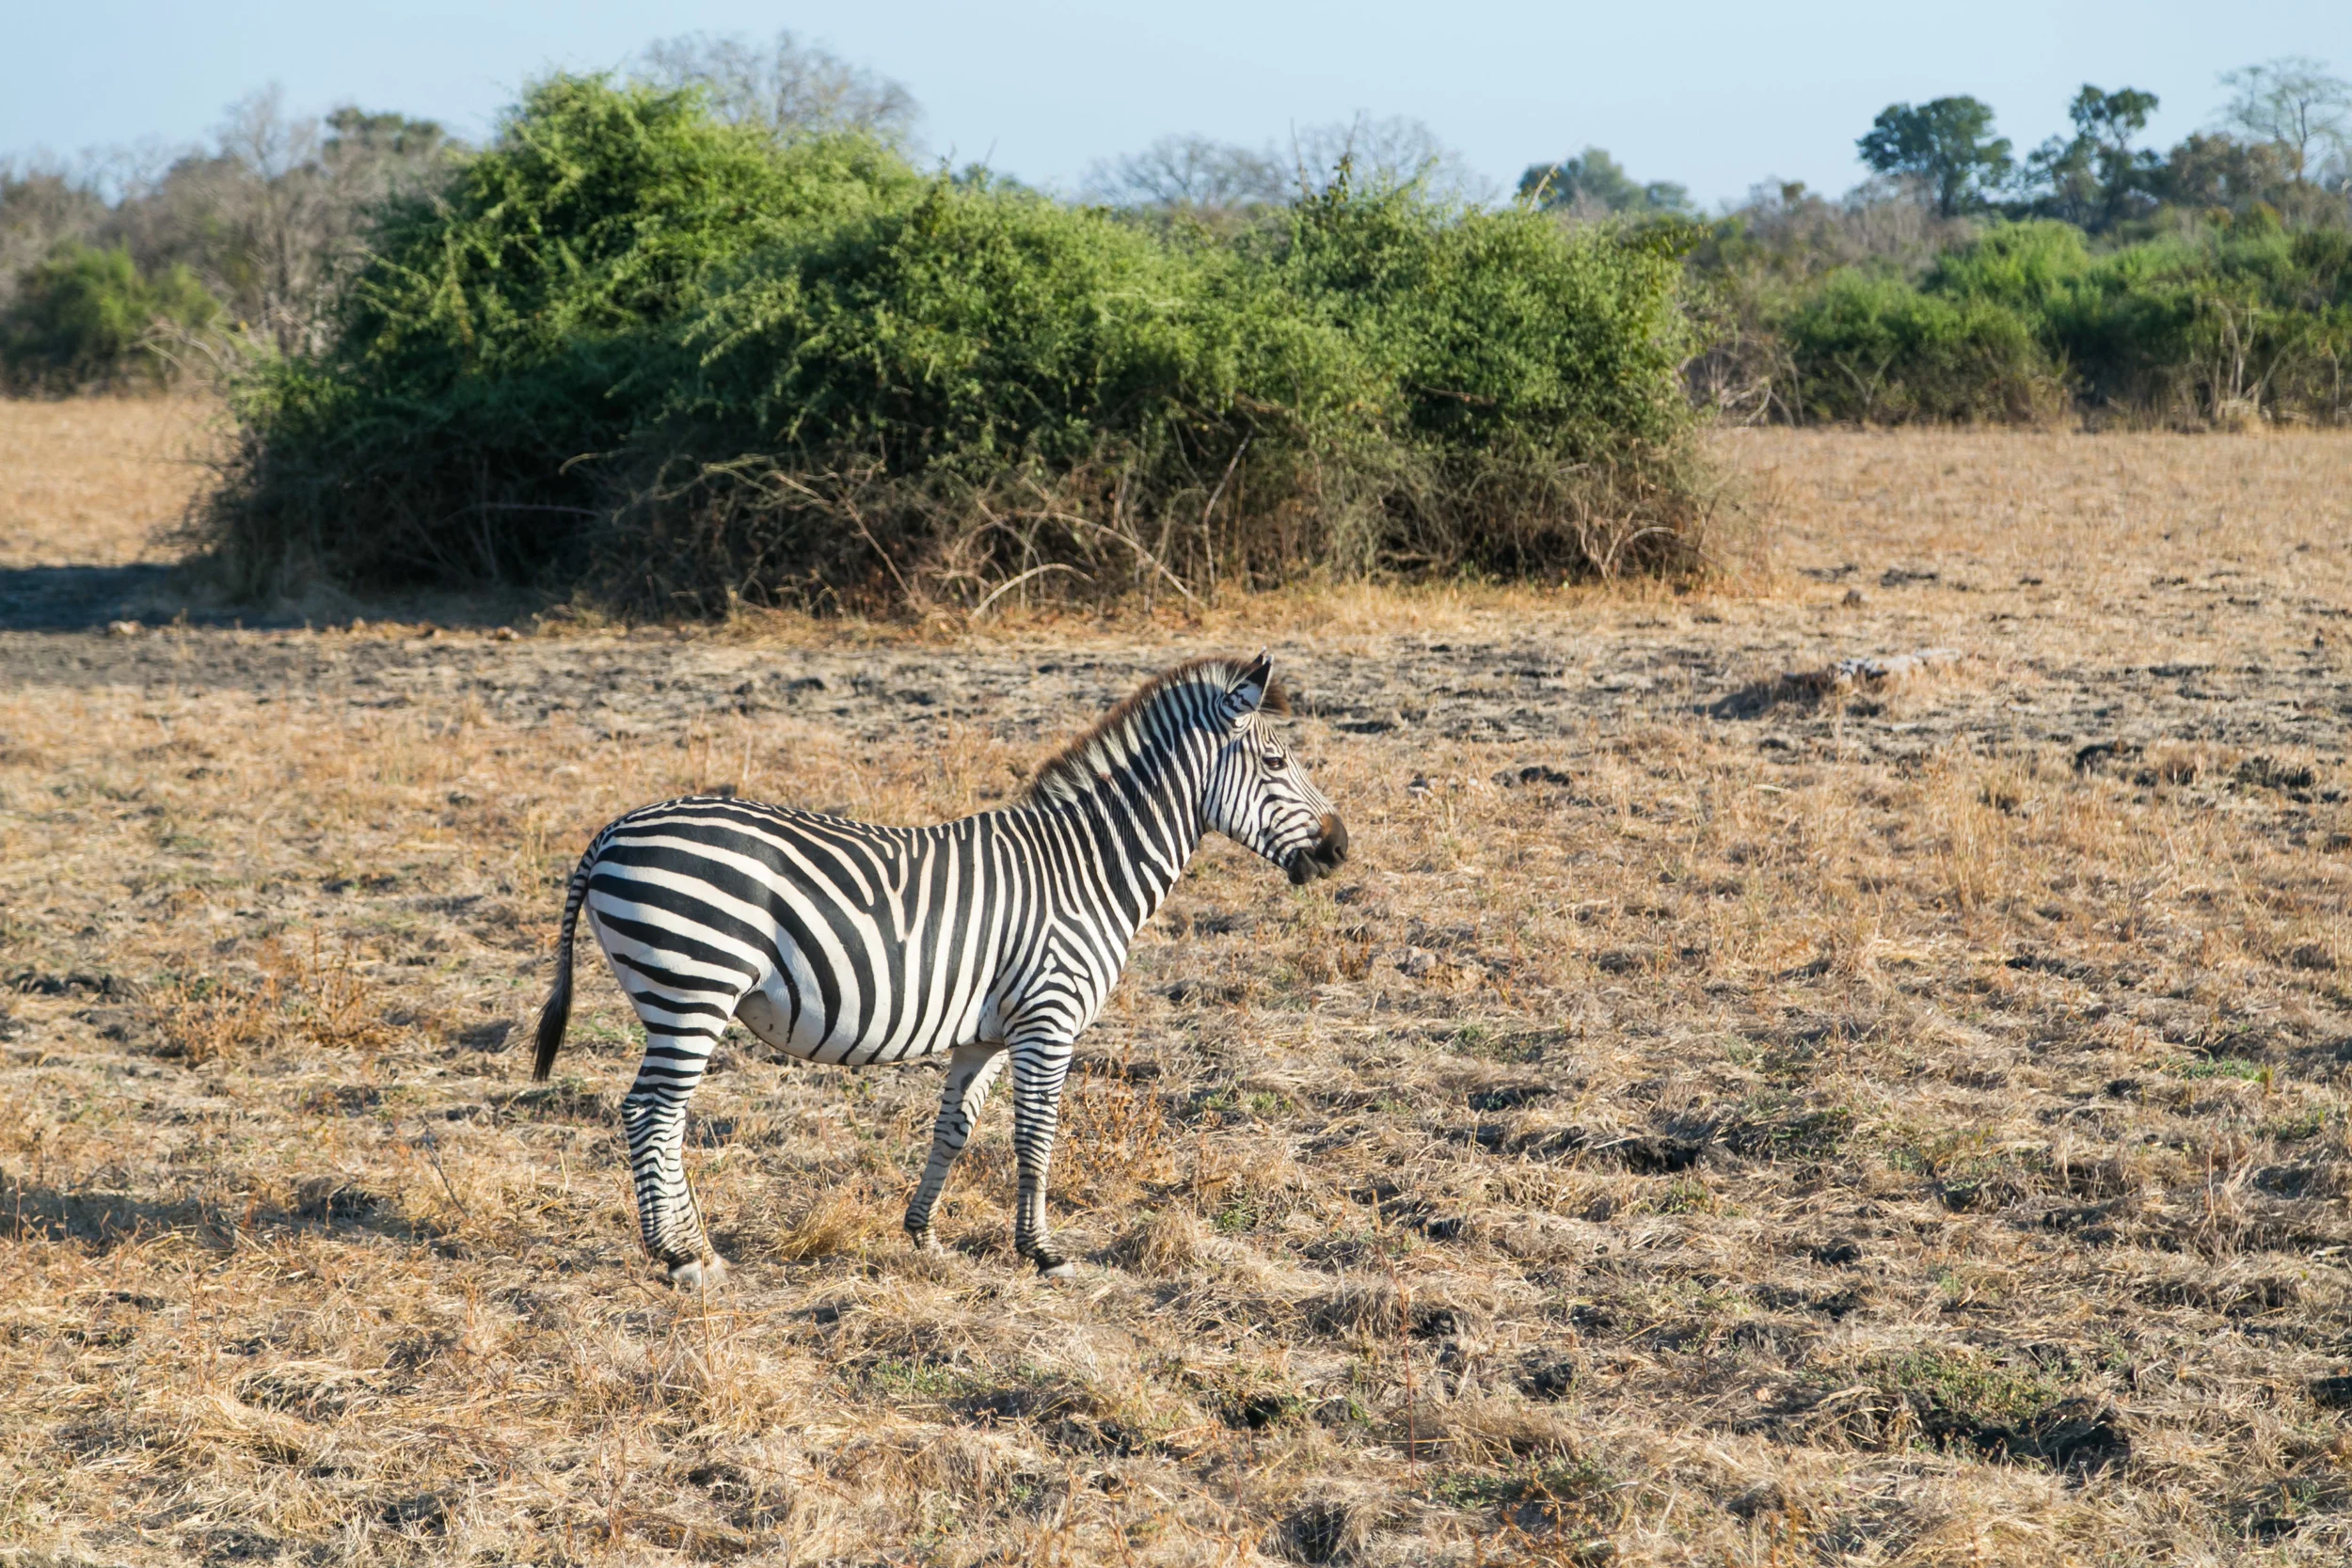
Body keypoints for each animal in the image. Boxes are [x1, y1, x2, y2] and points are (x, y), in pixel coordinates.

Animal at [530, 653, 1348, 1284]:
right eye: (1276, 762)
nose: (1340, 848)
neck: (1087, 869)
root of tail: (611, 831)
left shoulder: (986, 1032)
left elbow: (953, 1128)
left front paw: (923, 1232)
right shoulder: (1049, 1017)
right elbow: (1036, 1135)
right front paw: (1043, 1251)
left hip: (682, 996)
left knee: (664, 1119)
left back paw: (699, 1245)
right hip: (691, 985)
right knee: (649, 1112)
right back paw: (676, 1256)